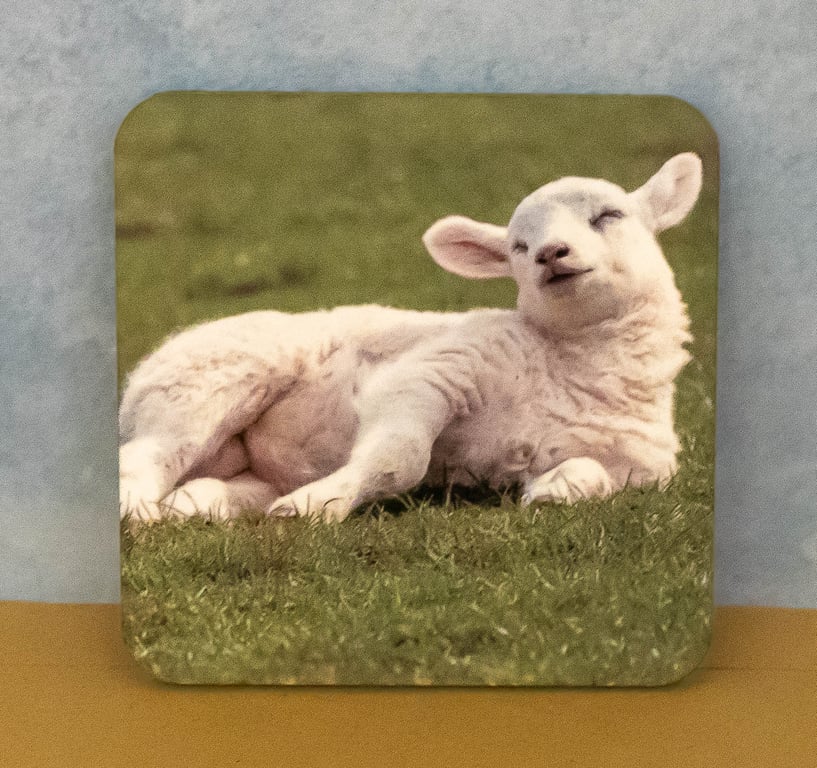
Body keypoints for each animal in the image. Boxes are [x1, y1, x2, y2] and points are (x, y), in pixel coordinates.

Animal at [119, 152, 703, 524]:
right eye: (518, 245)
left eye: (608, 215)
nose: (550, 253)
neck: (576, 365)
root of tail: (142, 373)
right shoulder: (440, 369)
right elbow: (397, 458)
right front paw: (311, 508)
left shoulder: (642, 471)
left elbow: (588, 474)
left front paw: (551, 492)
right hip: (201, 384)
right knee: (150, 455)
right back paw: (137, 512)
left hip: (244, 460)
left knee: (204, 482)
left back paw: (191, 507)